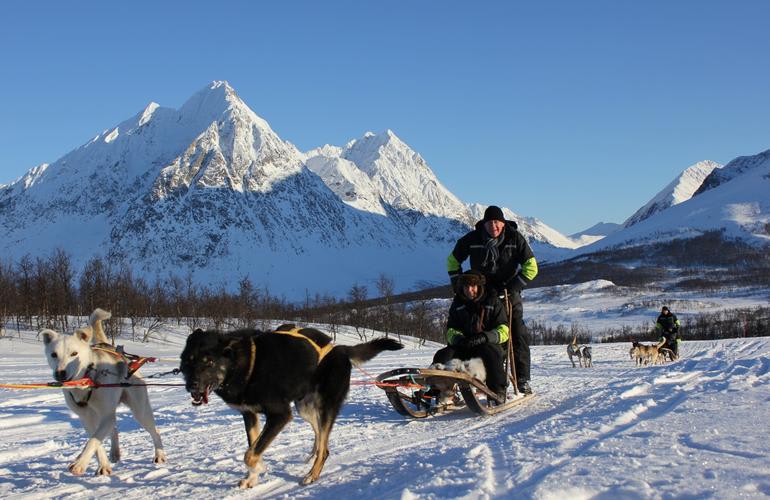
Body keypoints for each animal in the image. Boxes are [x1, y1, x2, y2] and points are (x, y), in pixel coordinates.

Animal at [42, 306, 165, 474]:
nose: (60, 373)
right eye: (54, 354)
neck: (87, 379)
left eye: (74, 353)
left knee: (155, 431)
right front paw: (102, 465)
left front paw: (80, 463)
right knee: (114, 428)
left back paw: (159, 454)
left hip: (140, 410)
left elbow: (93, 440)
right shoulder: (86, 418)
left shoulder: (105, 415)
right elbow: (96, 441)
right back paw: (114, 452)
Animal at [176, 324, 400, 488]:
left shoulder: (280, 415)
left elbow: (250, 454)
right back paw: (313, 452)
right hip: (304, 408)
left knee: (325, 448)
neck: (246, 365)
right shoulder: (250, 414)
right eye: (188, 361)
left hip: (325, 406)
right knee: (320, 436)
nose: (191, 385)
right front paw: (253, 477)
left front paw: (259, 468)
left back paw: (312, 475)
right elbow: (254, 446)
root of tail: (340, 348)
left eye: (209, 362)